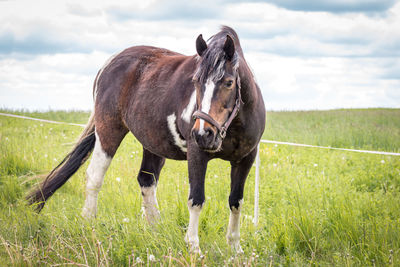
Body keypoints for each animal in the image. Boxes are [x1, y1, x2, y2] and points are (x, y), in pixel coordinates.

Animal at [28, 26, 266, 254]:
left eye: (228, 82)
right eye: (196, 81)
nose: (202, 134)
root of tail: (110, 62)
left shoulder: (246, 159)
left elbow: (236, 201)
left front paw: (235, 247)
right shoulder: (197, 154)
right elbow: (196, 200)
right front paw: (193, 247)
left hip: (152, 143)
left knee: (146, 181)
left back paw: (156, 230)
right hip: (108, 131)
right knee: (95, 177)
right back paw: (89, 223)